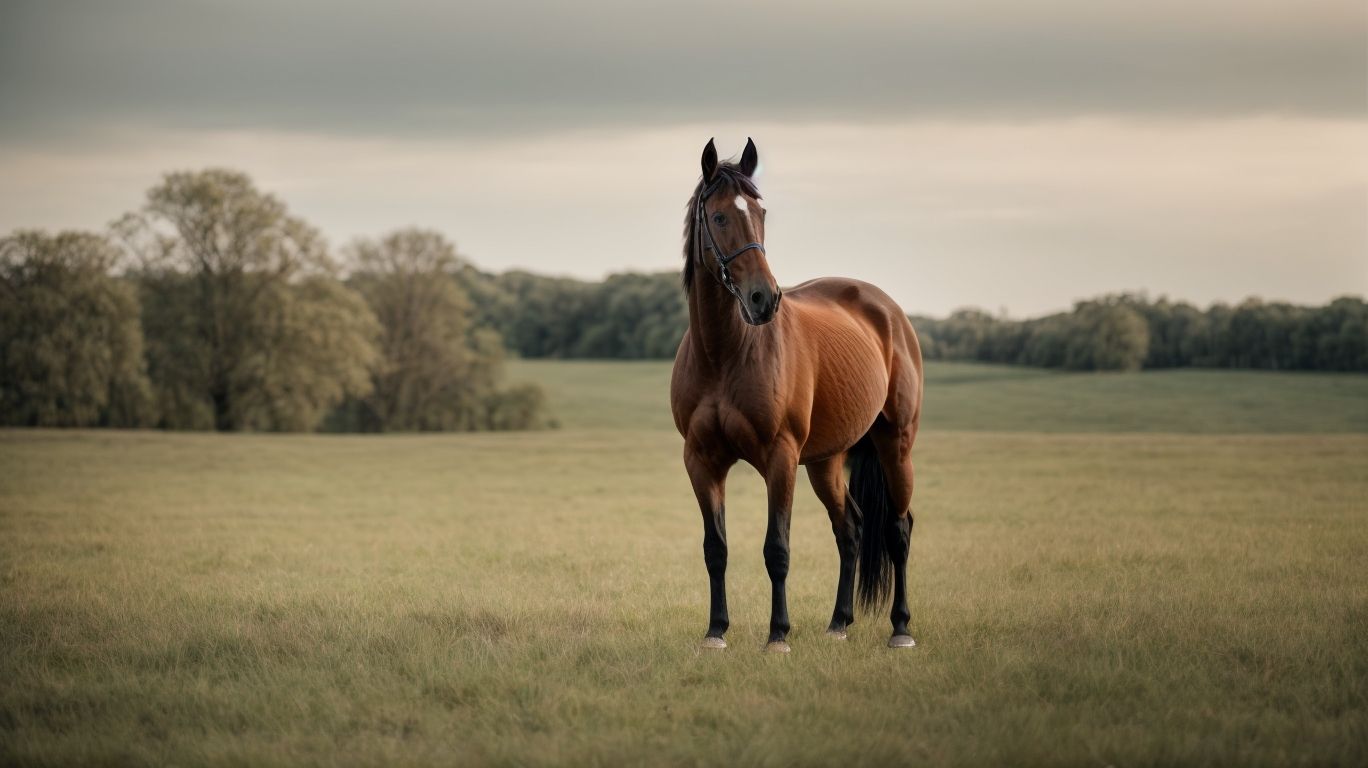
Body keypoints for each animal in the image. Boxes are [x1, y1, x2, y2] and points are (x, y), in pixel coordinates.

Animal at [670, 138, 924, 652]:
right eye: (720, 216)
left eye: (761, 213)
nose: (764, 298)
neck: (724, 354)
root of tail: (888, 312)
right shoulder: (701, 461)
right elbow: (715, 548)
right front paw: (716, 631)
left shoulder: (780, 458)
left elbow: (777, 548)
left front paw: (778, 635)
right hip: (826, 462)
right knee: (850, 528)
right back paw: (838, 623)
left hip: (895, 445)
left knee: (898, 529)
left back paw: (901, 628)